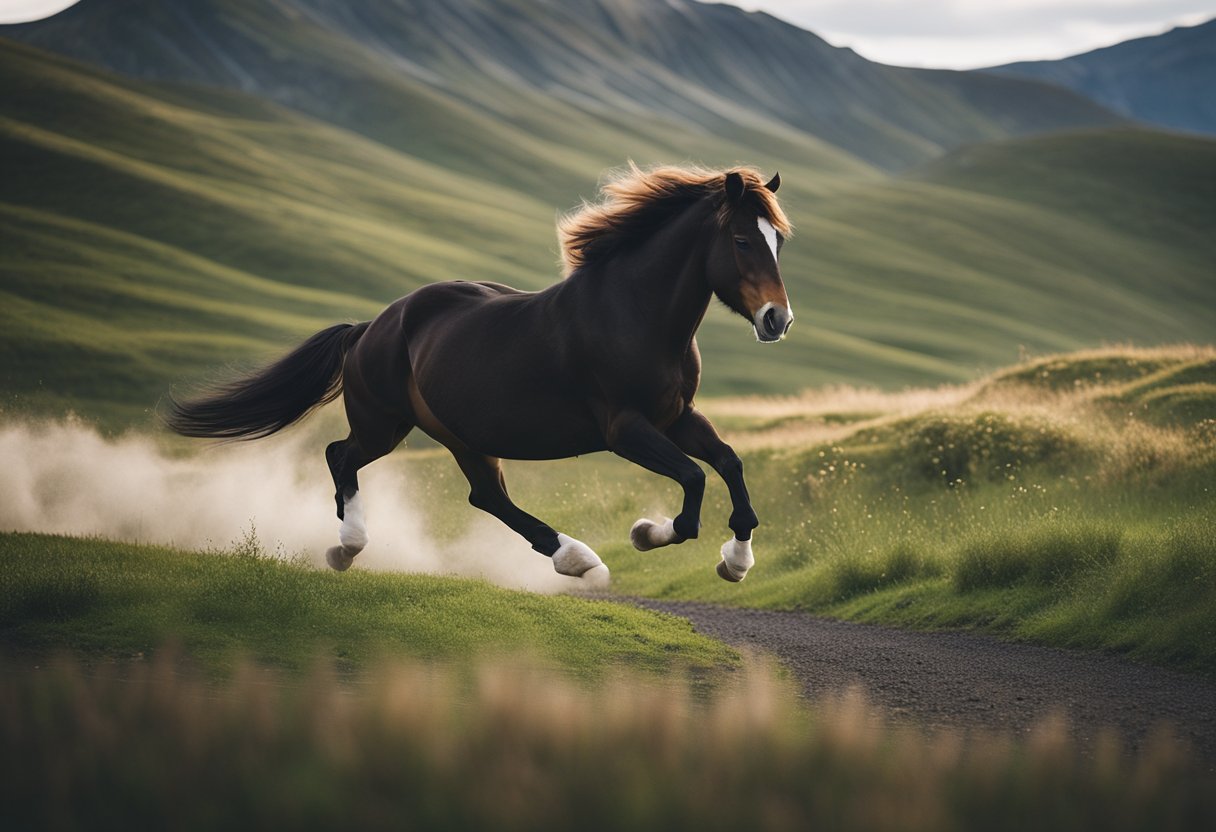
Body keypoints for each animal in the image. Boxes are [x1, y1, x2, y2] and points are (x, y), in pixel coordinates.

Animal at [169, 165, 797, 588]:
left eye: (779, 241)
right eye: (742, 240)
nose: (777, 319)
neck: (634, 314)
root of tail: (371, 326)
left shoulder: (677, 417)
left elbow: (729, 465)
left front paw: (736, 562)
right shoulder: (625, 429)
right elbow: (692, 485)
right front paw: (647, 534)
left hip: (461, 435)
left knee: (484, 495)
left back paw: (573, 557)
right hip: (384, 424)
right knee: (340, 456)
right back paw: (348, 548)